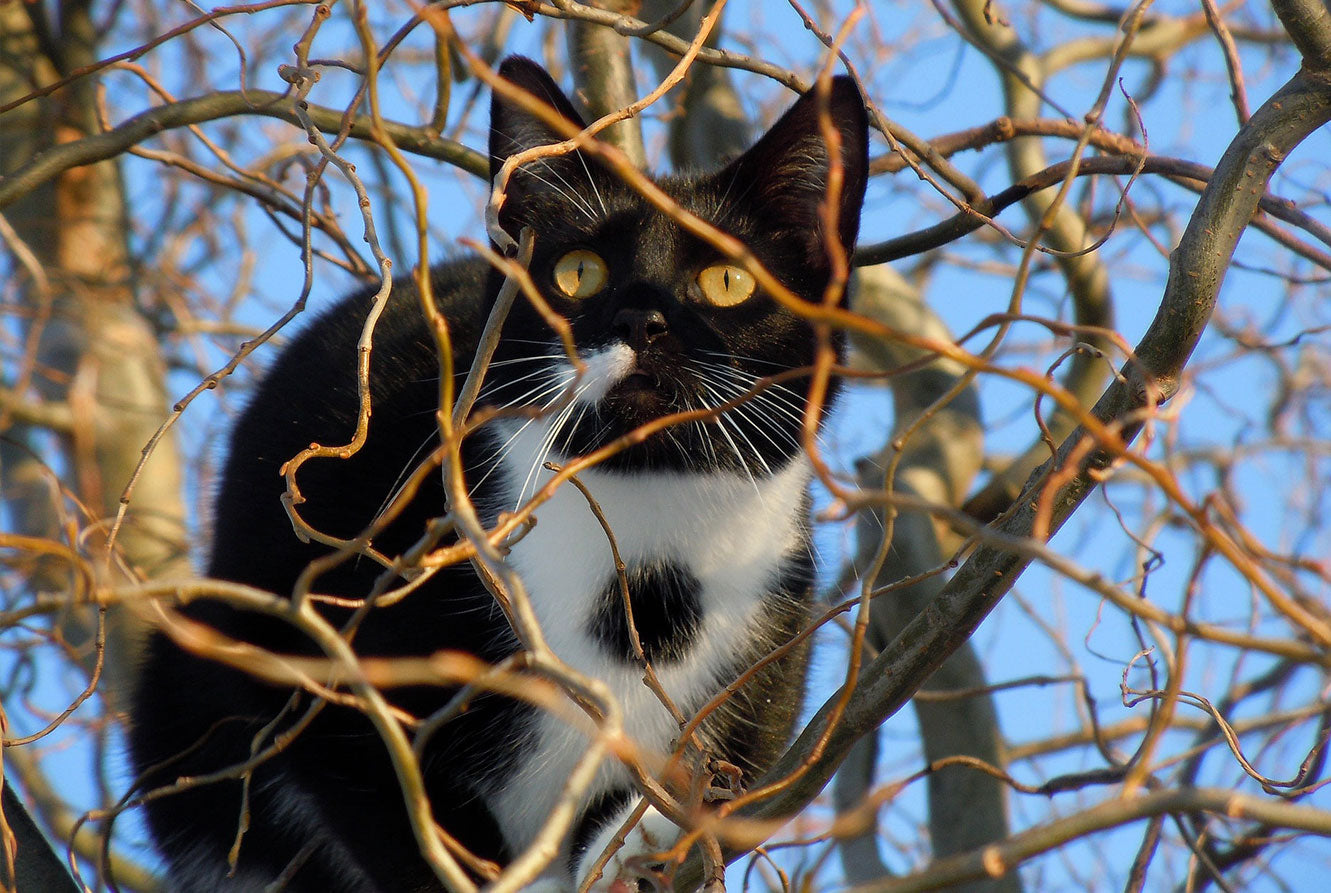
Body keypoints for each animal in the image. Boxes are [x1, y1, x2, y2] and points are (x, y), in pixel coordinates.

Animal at [129, 57, 867, 893]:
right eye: (578, 271)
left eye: (727, 282)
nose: (640, 322)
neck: (642, 549)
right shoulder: (315, 653)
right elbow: (395, 809)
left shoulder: (772, 654)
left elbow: (707, 785)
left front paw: (632, 851)